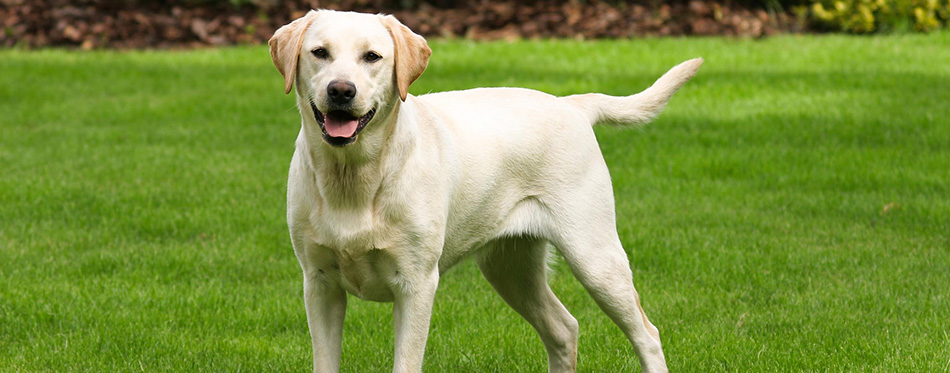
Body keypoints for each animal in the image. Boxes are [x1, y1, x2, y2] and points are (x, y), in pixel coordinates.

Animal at [272, 9, 704, 372]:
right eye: (320, 53)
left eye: (372, 57)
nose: (340, 90)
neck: (354, 177)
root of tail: (572, 104)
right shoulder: (319, 284)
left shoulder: (416, 285)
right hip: (510, 266)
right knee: (564, 329)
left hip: (595, 258)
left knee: (647, 335)